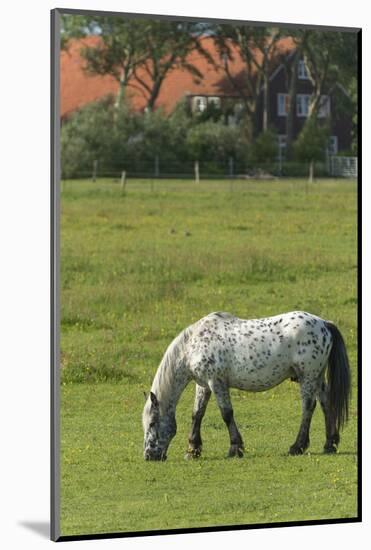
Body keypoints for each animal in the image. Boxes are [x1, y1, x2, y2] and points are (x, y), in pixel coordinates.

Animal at [142, 312, 352, 464]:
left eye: (152, 423)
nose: (149, 455)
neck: (193, 345)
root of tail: (324, 323)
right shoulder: (203, 385)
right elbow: (197, 414)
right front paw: (193, 450)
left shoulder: (216, 382)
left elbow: (226, 414)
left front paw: (235, 448)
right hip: (317, 377)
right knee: (326, 404)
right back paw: (330, 444)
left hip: (307, 377)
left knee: (308, 407)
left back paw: (297, 447)